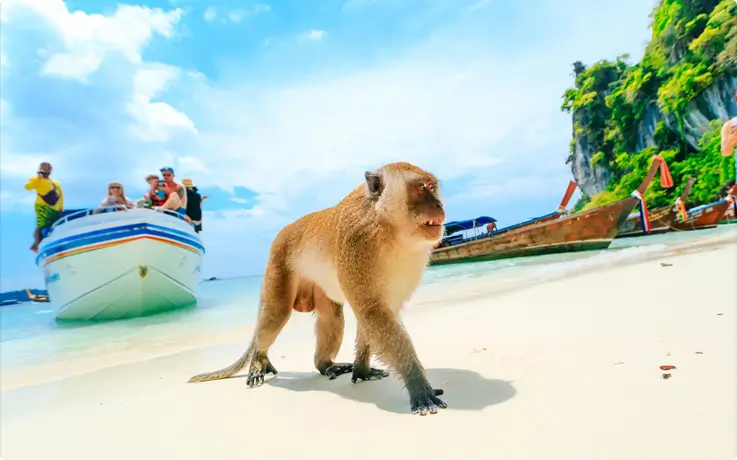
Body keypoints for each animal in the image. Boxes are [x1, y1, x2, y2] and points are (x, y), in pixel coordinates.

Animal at [188, 162, 448, 416]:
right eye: (421, 188)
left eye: (432, 187)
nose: (439, 204)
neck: (388, 226)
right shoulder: (358, 242)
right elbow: (372, 311)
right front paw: (418, 386)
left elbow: (374, 314)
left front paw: (362, 370)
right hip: (278, 264)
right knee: (276, 313)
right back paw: (258, 361)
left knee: (330, 316)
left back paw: (326, 365)